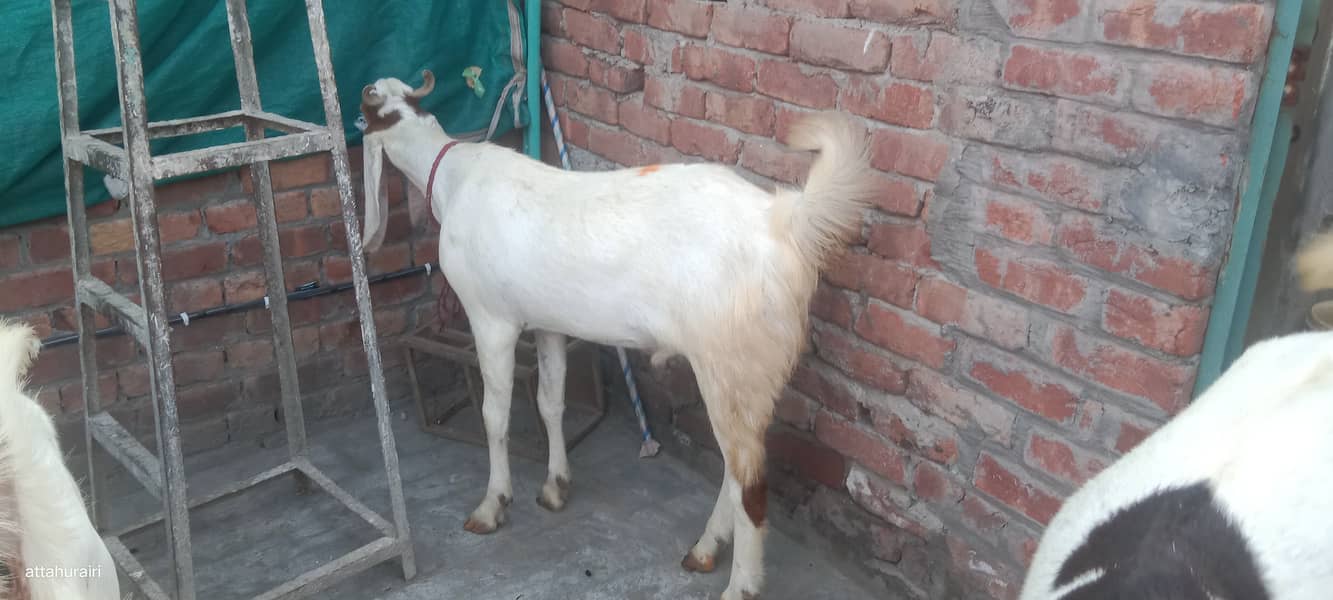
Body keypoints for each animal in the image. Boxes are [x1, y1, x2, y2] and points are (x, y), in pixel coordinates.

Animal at [358, 70, 877, 599]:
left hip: (728, 362)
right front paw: (555, 486)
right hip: (751, 375)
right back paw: (705, 548)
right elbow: (550, 402)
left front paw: (491, 506)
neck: (452, 178)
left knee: (749, 483)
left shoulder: (491, 319)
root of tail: (784, 221)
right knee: (738, 468)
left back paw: (739, 585)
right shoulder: (548, 324)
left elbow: (494, 416)